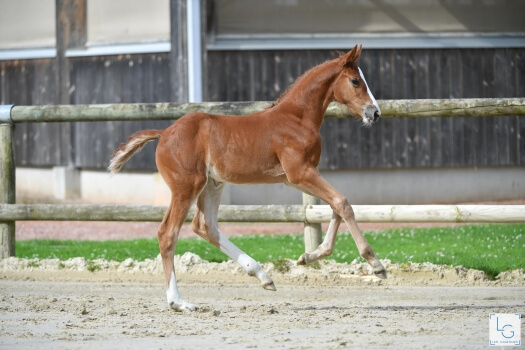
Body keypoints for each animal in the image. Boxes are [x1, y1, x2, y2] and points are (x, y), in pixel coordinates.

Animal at [108, 45, 384, 310]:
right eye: (355, 81)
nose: (375, 113)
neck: (296, 118)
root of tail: (164, 132)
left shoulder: (299, 175)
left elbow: (336, 204)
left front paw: (308, 257)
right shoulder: (300, 173)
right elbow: (342, 203)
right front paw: (375, 263)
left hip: (212, 184)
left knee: (205, 225)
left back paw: (263, 276)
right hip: (186, 186)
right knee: (168, 233)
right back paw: (178, 302)